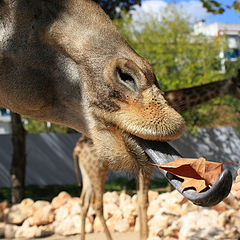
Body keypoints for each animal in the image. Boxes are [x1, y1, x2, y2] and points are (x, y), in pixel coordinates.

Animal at [73, 71, 240, 240]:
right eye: (238, 85)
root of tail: (77, 149)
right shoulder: (148, 164)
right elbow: (143, 201)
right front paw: (144, 236)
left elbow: (140, 199)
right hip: (98, 169)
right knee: (96, 204)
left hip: (88, 171)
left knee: (83, 203)